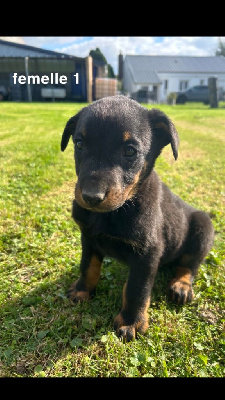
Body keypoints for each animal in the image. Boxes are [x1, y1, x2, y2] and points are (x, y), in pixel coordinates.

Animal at [60, 94, 214, 340]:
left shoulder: (147, 252)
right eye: (79, 144)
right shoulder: (88, 239)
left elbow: (136, 290)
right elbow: (88, 267)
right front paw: (82, 290)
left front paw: (131, 322)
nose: (91, 197)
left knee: (190, 264)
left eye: (130, 151)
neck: (117, 211)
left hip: (203, 227)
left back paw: (181, 286)